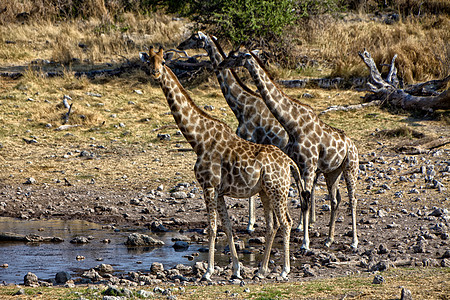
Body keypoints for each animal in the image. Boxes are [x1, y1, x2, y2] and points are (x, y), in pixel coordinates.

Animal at [220, 49, 360, 251]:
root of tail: (353, 145)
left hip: (350, 167)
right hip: (332, 172)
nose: (221, 64)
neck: (293, 125)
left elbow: (306, 202)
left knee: (353, 199)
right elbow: (302, 200)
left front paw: (305, 243)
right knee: (335, 200)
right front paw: (304, 237)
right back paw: (329, 239)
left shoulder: (309, 167)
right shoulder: (300, 167)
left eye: (236, 55)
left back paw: (354, 241)